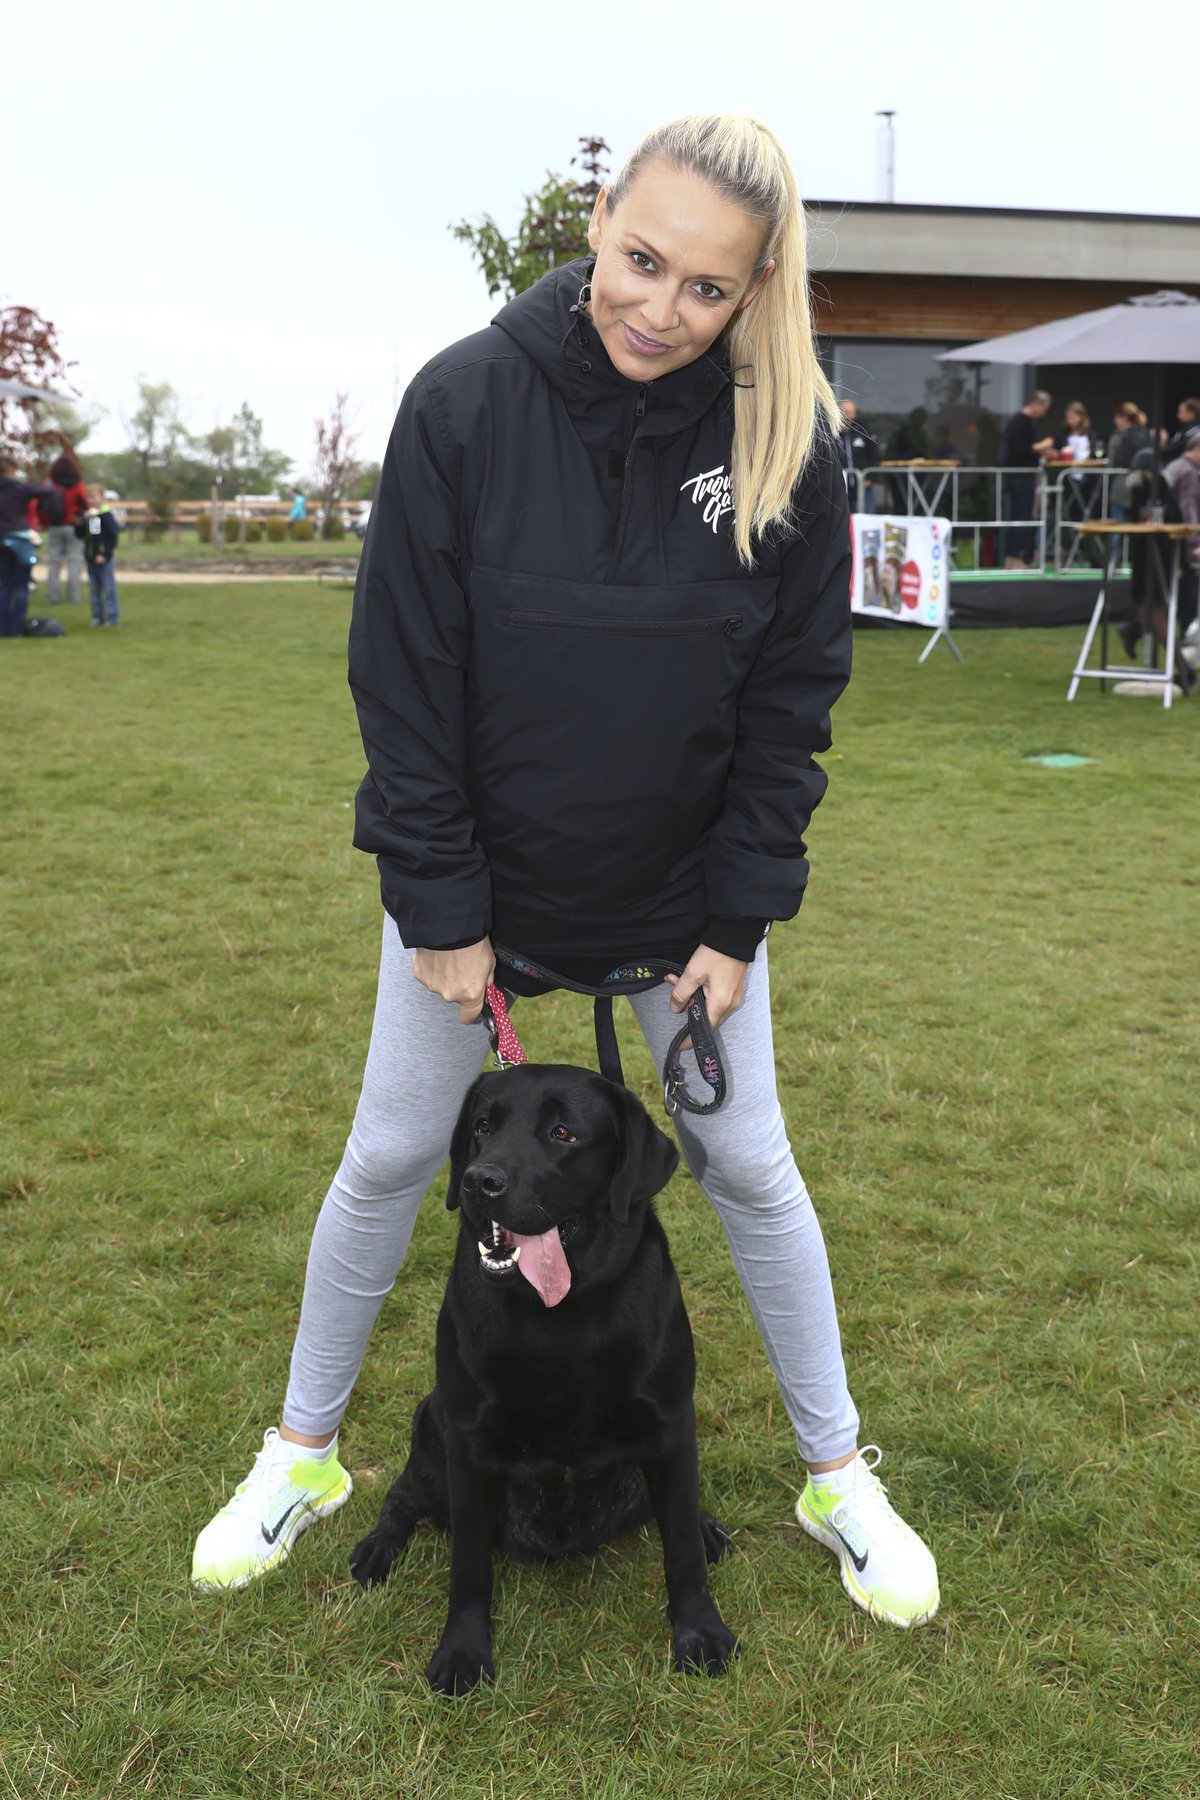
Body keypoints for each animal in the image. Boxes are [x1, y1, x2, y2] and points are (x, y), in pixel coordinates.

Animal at [349, 1058, 741, 1692]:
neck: (561, 1317)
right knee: (403, 1495)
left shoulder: (671, 1421)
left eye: (564, 1134)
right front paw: (462, 1654)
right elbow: (469, 1566)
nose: (477, 1183)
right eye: (482, 1127)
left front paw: (701, 1632)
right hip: (431, 1423)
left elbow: (679, 1544)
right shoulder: (467, 1441)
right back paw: (377, 1550)